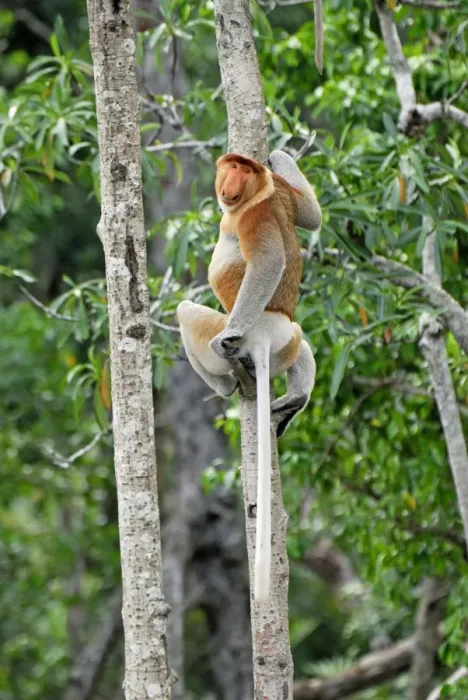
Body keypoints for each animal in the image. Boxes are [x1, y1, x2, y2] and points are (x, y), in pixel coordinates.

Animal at [177, 150, 321, 601]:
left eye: (241, 170)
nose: (230, 181)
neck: (259, 192)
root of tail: (266, 334)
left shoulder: (250, 219)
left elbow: (268, 262)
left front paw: (228, 338)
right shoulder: (284, 194)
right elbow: (311, 215)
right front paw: (277, 154)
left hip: (230, 333)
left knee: (186, 312)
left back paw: (229, 381)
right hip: (288, 338)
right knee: (302, 342)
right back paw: (293, 401)